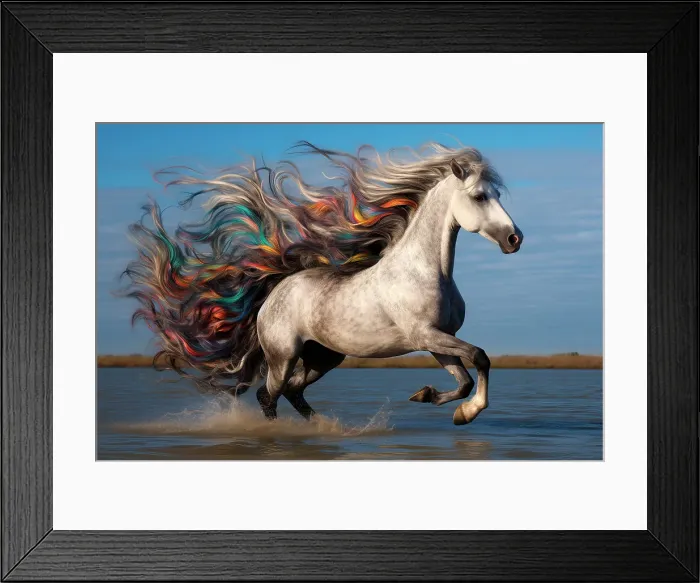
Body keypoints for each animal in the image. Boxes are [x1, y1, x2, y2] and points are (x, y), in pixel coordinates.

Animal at [124, 142, 523, 426]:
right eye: (479, 196)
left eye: (498, 195)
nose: (514, 239)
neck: (424, 270)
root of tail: (274, 294)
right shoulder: (424, 335)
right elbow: (480, 357)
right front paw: (465, 412)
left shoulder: (437, 340)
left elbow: (465, 379)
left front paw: (431, 399)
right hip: (284, 356)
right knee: (269, 395)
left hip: (324, 357)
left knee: (293, 393)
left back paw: (325, 426)